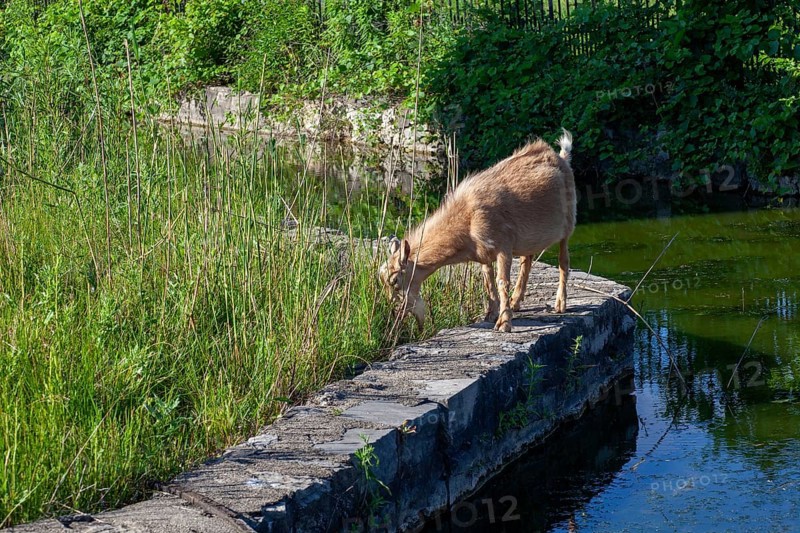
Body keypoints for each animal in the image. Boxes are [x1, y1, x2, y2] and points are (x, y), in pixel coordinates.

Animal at [379, 130, 576, 332]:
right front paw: (490, 314)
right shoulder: (484, 254)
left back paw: (560, 304)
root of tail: (561, 157)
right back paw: (516, 302)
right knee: (526, 260)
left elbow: (502, 281)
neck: (467, 220)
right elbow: (488, 282)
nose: (396, 314)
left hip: (568, 223)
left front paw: (504, 323)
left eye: (395, 281)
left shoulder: (504, 246)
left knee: (563, 260)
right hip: (528, 239)